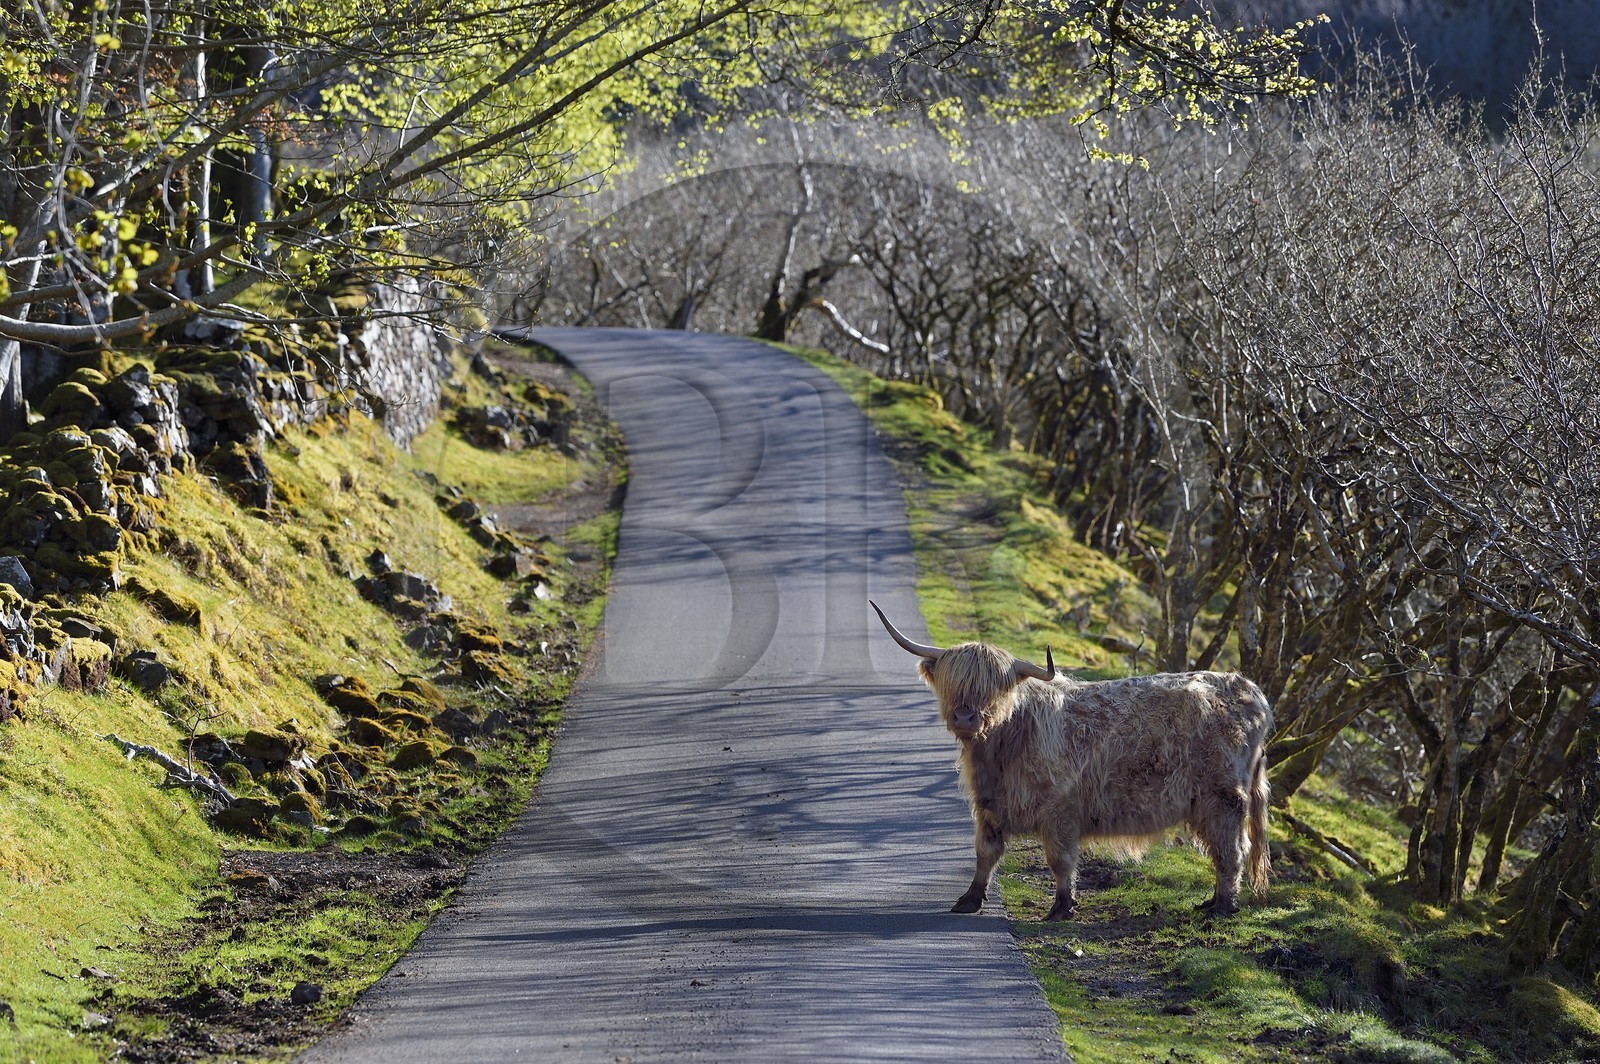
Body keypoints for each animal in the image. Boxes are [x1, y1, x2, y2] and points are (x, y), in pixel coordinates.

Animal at [871, 601, 1271, 920]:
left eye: (994, 687)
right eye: (953, 681)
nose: (966, 717)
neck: (1004, 745)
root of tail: (1247, 688)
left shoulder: (1061, 809)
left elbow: (1060, 860)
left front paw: (1062, 907)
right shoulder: (989, 805)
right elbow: (985, 853)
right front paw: (970, 899)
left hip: (1222, 798)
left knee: (1231, 851)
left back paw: (1222, 906)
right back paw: (1211, 902)